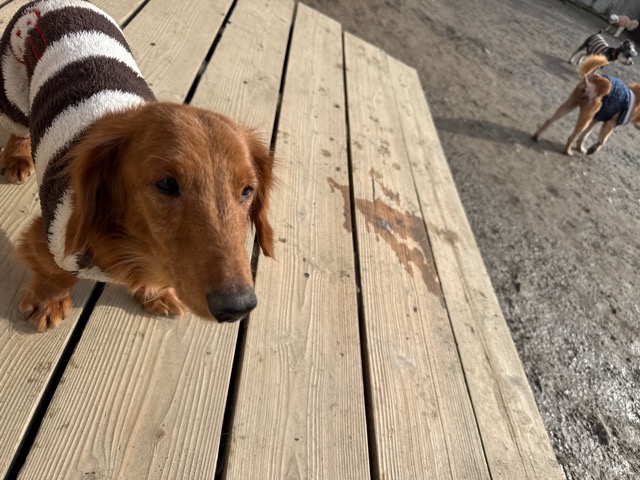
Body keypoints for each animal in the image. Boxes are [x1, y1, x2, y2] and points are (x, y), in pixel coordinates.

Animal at [0, 0, 275, 332]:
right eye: (167, 183)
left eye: (247, 190)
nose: (238, 307)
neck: (138, 249)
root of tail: (50, 4)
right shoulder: (51, 236)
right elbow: (55, 273)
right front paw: (48, 301)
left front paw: (157, 293)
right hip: (11, 91)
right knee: (18, 128)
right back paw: (17, 157)